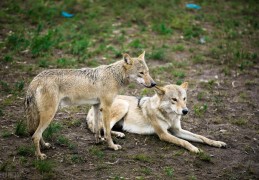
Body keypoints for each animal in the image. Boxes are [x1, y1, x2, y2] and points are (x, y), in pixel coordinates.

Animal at [24, 51, 156, 160]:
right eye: (141, 73)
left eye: (148, 72)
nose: (154, 84)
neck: (115, 76)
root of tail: (35, 80)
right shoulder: (106, 107)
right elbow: (107, 131)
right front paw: (112, 146)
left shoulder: (96, 106)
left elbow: (97, 128)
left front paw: (98, 141)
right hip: (50, 114)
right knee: (35, 135)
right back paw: (39, 156)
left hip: (46, 115)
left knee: (37, 133)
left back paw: (45, 146)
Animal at [87, 82, 225, 152]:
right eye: (174, 99)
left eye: (184, 99)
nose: (185, 111)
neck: (169, 116)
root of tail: (90, 108)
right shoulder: (163, 134)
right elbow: (184, 141)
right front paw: (195, 148)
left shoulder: (177, 130)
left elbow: (202, 137)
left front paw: (217, 143)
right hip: (123, 105)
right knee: (103, 130)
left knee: (104, 129)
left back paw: (120, 134)